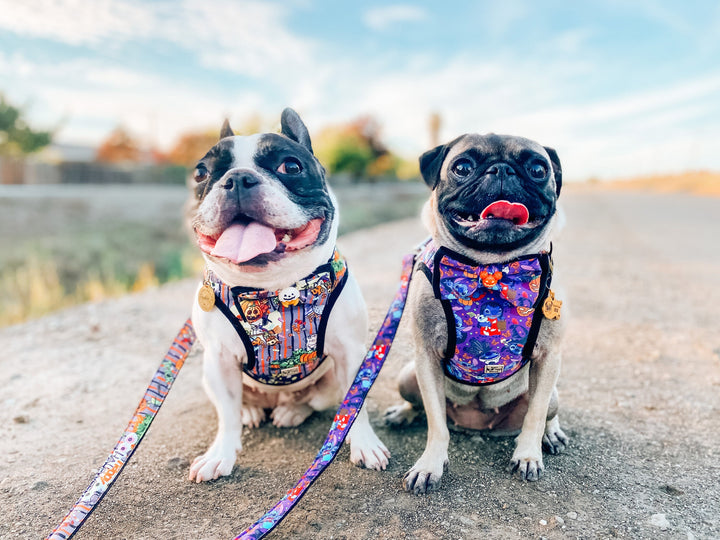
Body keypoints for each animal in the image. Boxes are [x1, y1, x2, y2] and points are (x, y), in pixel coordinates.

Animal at [186, 108, 388, 480]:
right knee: (237, 405)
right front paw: (220, 454)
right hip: (208, 377)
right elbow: (226, 415)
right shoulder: (219, 361)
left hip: (326, 386)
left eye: (291, 167)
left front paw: (365, 443)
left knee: (309, 402)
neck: (276, 291)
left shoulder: (351, 355)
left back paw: (290, 412)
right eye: (201, 173)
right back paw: (251, 412)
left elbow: (356, 406)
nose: (238, 179)